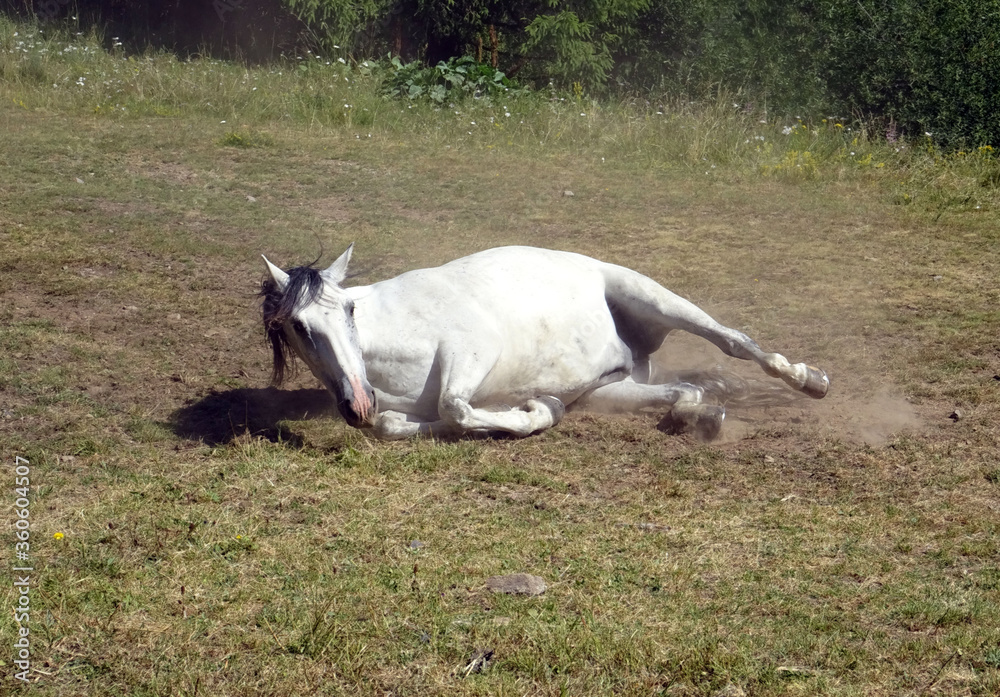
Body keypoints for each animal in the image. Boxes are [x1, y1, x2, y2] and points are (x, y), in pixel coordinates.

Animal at [259, 245, 828, 441]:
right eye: (297, 328)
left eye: (349, 310)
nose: (356, 403)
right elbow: (401, 424)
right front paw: (538, 407)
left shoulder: (473, 348)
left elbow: (455, 407)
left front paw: (538, 412)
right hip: (609, 388)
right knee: (683, 391)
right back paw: (703, 413)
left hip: (654, 298)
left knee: (735, 342)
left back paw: (809, 380)